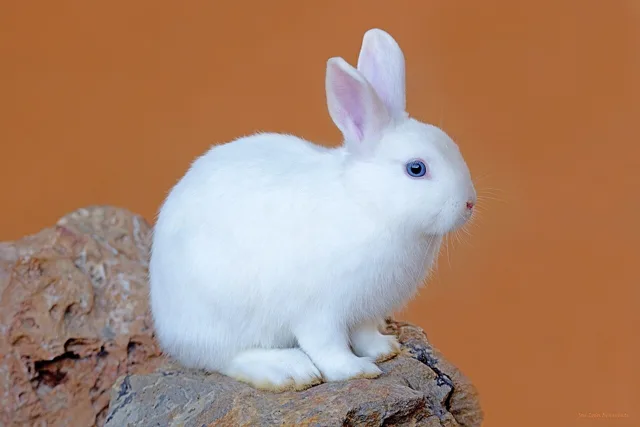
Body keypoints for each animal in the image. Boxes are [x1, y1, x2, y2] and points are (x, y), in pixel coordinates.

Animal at [149, 28, 477, 392]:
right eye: (416, 169)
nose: (469, 203)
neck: (368, 203)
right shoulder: (319, 312)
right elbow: (327, 346)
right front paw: (354, 370)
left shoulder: (364, 310)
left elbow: (364, 334)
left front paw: (384, 350)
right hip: (220, 314)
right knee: (225, 358)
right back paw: (289, 371)